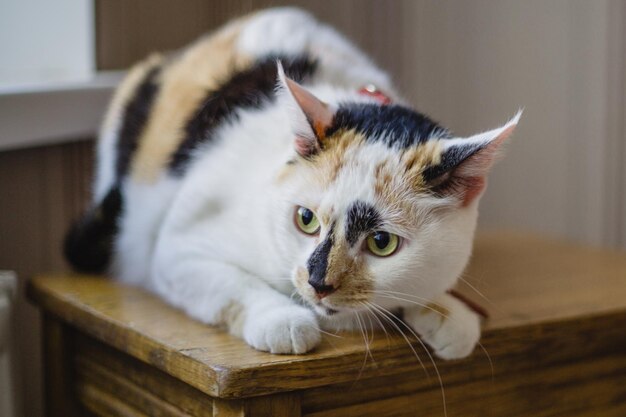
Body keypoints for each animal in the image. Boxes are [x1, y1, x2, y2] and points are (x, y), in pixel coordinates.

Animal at [66, 6, 520, 358]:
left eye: (381, 242)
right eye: (305, 219)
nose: (319, 283)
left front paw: (447, 312)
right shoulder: (176, 250)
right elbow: (232, 284)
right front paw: (282, 320)